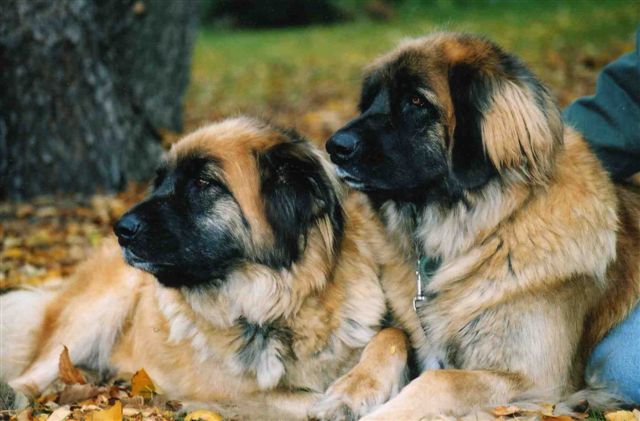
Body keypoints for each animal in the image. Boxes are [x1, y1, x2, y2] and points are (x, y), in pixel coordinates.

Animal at [0, 117, 423, 419]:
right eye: (160, 181)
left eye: (204, 183)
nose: (121, 229)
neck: (282, 306)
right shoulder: (232, 390)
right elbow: (304, 401)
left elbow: (392, 336)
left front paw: (354, 390)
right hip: (100, 305)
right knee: (37, 369)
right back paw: (17, 394)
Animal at [325, 32, 640, 419]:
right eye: (370, 101)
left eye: (416, 101)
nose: (334, 147)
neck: (483, 232)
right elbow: (388, 336)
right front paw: (348, 390)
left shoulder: (539, 380)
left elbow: (438, 380)